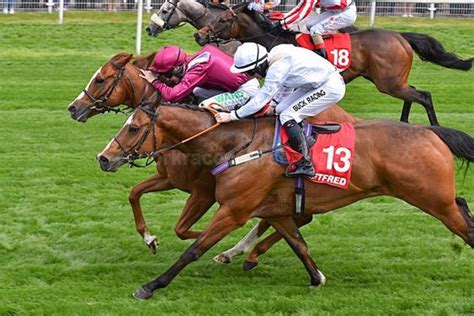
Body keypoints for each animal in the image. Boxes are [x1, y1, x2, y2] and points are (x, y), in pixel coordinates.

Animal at [65, 51, 356, 254]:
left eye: (100, 79)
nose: (73, 108)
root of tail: (347, 117)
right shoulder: (169, 178)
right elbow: (134, 194)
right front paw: (150, 239)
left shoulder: (203, 191)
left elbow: (183, 230)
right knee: (295, 217)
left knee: (296, 216)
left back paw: (239, 250)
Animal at [97, 100, 474, 298]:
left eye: (133, 128)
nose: (103, 158)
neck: (236, 144)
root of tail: (430, 132)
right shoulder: (276, 209)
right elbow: (299, 243)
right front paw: (315, 277)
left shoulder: (233, 209)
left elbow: (194, 248)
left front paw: (150, 286)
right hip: (436, 198)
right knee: (464, 206)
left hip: (433, 199)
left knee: (465, 226)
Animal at [193, 2, 474, 126]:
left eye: (222, 21)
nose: (198, 35)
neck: (273, 39)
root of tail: (400, 36)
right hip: (389, 80)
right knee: (414, 93)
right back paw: (404, 124)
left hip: (388, 82)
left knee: (424, 96)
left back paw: (435, 128)